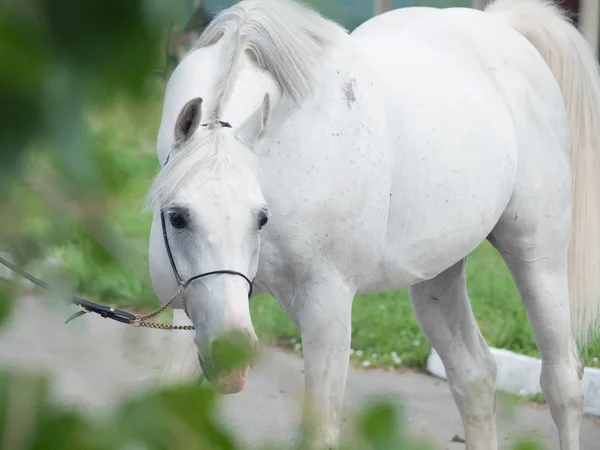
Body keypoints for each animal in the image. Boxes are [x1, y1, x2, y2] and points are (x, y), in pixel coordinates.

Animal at [148, 0, 600, 448]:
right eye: (177, 216)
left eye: (261, 216)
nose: (231, 362)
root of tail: (501, 26)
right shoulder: (194, 311)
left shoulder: (326, 312)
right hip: (436, 279)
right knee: (475, 376)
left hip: (537, 259)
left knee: (562, 383)